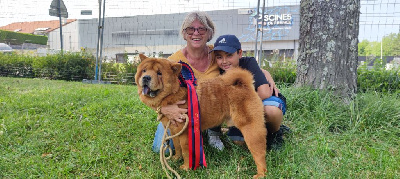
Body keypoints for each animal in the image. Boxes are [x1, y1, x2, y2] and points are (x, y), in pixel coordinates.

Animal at [135, 53, 268, 178]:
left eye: (159, 73)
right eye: (144, 70)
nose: (146, 77)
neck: (173, 93)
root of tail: (244, 84)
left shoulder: (185, 132)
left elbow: (185, 150)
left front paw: (186, 167)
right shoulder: (173, 130)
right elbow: (177, 147)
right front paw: (176, 159)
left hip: (251, 129)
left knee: (259, 152)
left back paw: (260, 174)